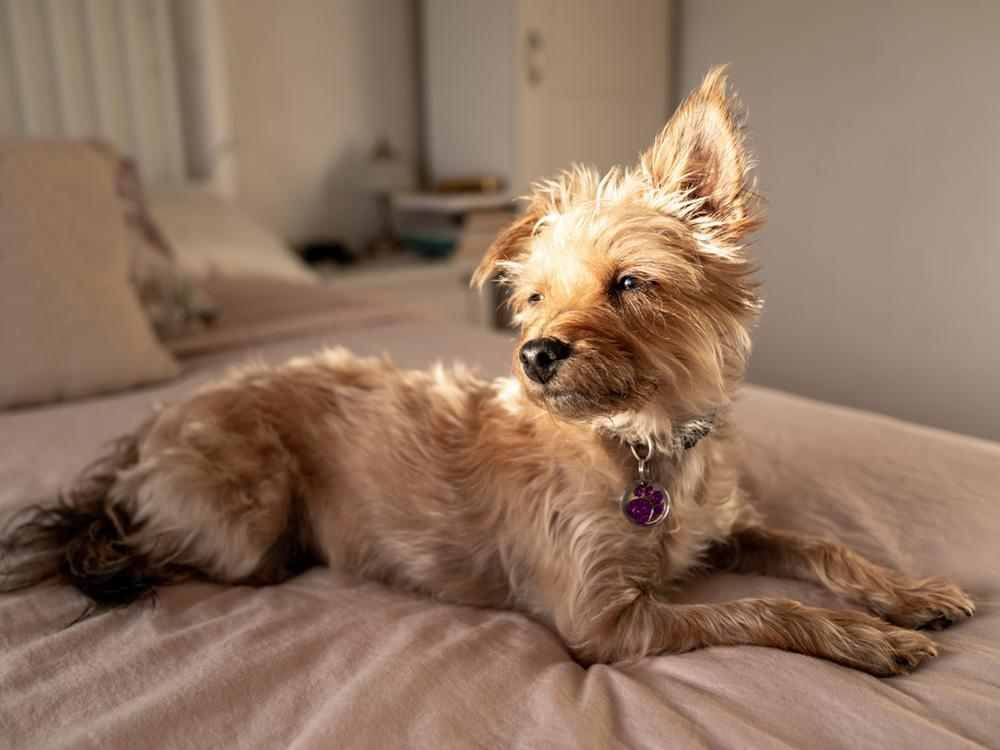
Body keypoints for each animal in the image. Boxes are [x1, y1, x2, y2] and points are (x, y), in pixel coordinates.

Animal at [0, 67, 972, 676]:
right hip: (246, 516)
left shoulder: (723, 528)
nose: (536, 354)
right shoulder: (604, 623)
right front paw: (862, 637)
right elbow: (768, 608)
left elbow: (815, 544)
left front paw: (906, 591)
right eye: (534, 299)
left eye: (629, 285)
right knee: (146, 542)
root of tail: (144, 432)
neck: (645, 446)